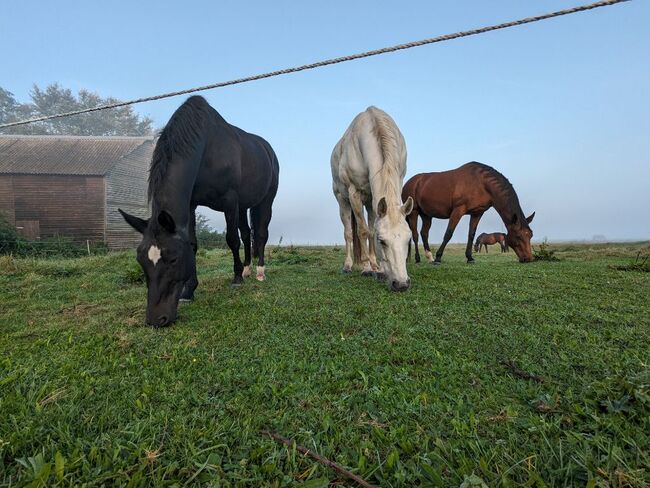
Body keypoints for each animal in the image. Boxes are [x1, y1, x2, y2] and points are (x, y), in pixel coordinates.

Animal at [119, 96, 278, 328]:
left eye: (173, 259)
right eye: (141, 260)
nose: (156, 319)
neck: (205, 150)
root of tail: (267, 149)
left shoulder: (230, 200)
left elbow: (231, 239)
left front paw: (236, 279)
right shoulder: (192, 204)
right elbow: (193, 244)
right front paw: (189, 291)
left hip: (265, 201)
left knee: (260, 234)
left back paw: (259, 272)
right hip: (243, 206)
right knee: (247, 232)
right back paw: (248, 268)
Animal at [332, 106, 412, 290]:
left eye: (408, 239)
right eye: (382, 241)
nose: (401, 284)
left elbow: (371, 231)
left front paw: (379, 269)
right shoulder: (354, 193)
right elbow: (362, 231)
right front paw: (367, 268)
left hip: (370, 203)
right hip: (342, 201)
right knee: (348, 232)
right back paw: (348, 265)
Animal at [402, 162, 536, 264]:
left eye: (530, 235)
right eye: (518, 236)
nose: (528, 258)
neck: (481, 183)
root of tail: (410, 182)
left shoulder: (477, 213)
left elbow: (471, 234)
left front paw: (470, 257)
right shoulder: (458, 210)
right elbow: (448, 233)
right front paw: (439, 257)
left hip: (426, 215)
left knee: (424, 233)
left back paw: (430, 257)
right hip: (413, 212)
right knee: (415, 235)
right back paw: (418, 259)